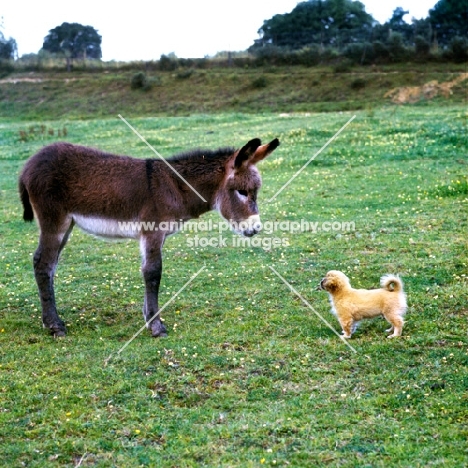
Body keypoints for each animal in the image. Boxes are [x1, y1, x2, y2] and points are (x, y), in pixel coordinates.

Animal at [19, 138, 278, 336]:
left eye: (255, 191)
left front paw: (148, 318)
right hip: (54, 220)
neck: (173, 187)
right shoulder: (152, 231)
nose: (255, 228)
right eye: (242, 192)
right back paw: (55, 326)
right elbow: (153, 273)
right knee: (43, 263)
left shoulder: (156, 236)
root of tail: (30, 163)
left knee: (49, 265)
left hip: (67, 224)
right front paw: (156, 326)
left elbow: (149, 271)